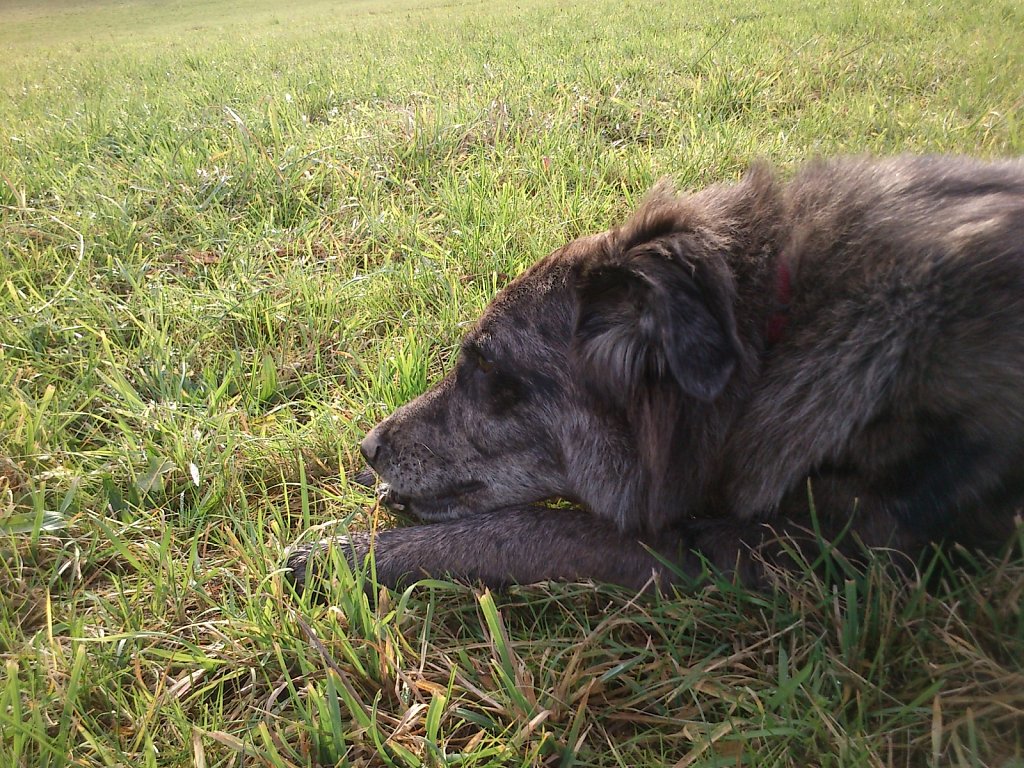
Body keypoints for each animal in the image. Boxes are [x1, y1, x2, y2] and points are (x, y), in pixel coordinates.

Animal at [284, 153, 1024, 593]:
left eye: (487, 365)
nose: (367, 448)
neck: (770, 340)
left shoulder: (760, 551)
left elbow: (530, 530)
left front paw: (345, 554)